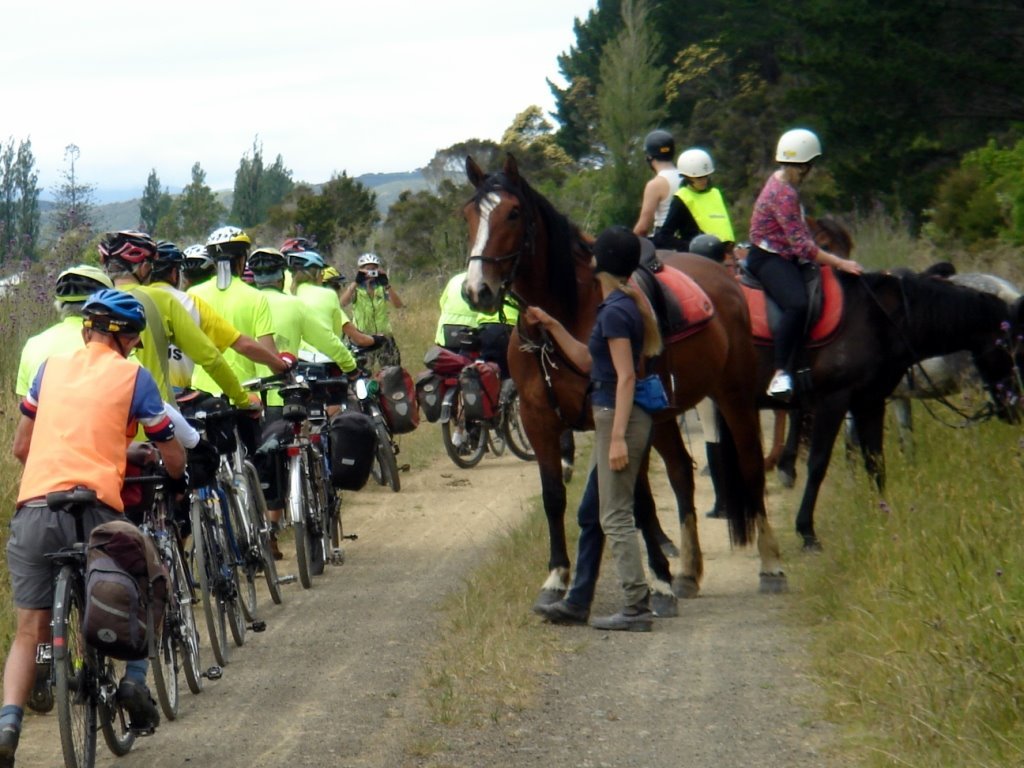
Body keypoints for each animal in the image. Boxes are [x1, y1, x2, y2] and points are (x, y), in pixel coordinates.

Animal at [460, 153, 786, 606]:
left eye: (512, 213)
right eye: (469, 215)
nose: (478, 291)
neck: (566, 318)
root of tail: (726, 279)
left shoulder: (616, 415)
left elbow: (636, 498)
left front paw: (658, 578)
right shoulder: (539, 420)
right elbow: (554, 496)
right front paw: (557, 577)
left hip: (733, 396)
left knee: (751, 465)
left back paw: (768, 563)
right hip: (666, 416)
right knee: (682, 474)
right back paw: (689, 570)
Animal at [749, 219, 1019, 548]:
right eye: (1006, 346)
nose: (1013, 406)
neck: (884, 319)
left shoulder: (859, 399)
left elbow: (860, 454)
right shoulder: (856, 399)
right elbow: (856, 454)